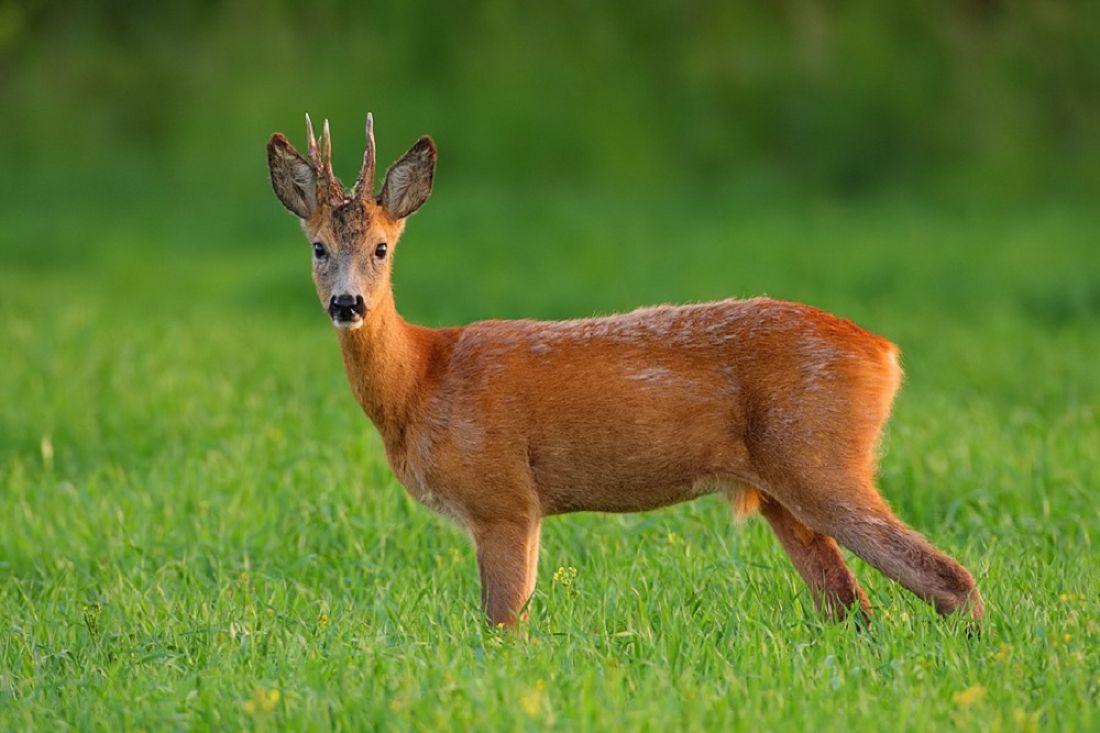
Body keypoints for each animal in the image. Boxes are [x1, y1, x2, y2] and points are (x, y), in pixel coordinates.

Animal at [268, 112, 990, 620]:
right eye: (318, 247)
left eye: (382, 248)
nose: (348, 303)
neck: (423, 379)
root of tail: (884, 353)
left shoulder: (505, 495)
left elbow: (501, 623)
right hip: (782, 490)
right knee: (848, 606)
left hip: (819, 455)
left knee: (944, 577)